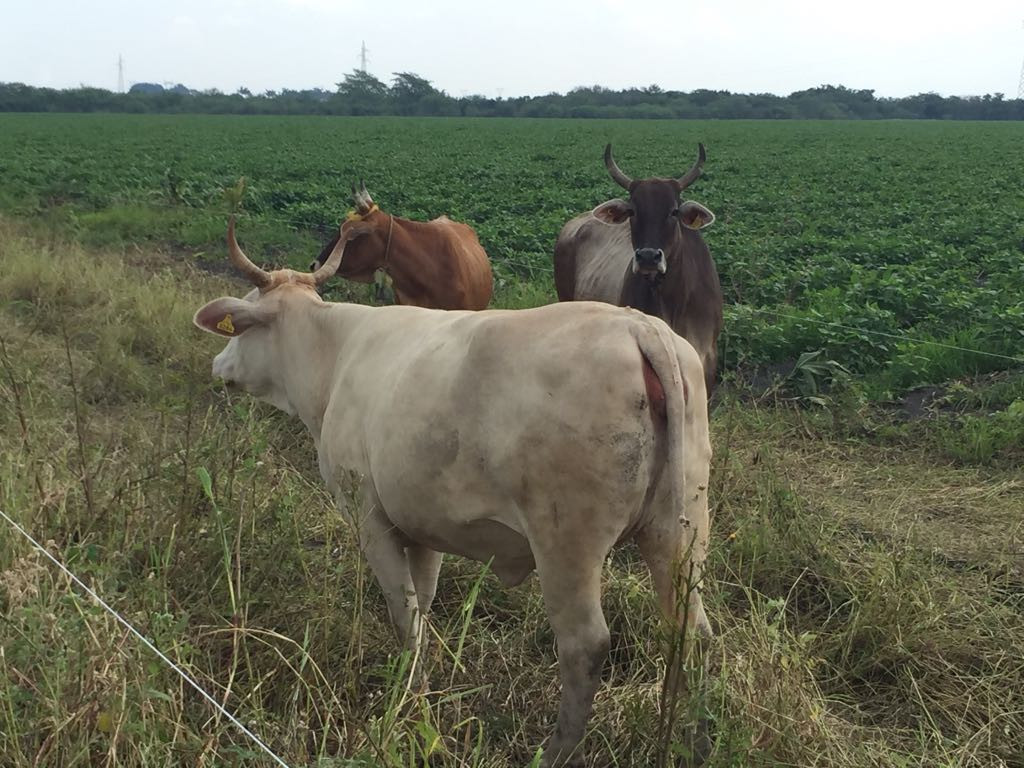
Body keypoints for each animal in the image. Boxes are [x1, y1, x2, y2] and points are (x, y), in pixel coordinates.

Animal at [194, 220, 713, 767]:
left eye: (243, 322)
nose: (219, 364)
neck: (333, 356)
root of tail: (638, 327)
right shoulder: (422, 526)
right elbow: (421, 606)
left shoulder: (370, 519)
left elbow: (404, 613)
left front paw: (407, 698)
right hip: (681, 527)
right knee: (691, 632)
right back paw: (693, 740)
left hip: (567, 544)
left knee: (585, 645)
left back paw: (554, 751)